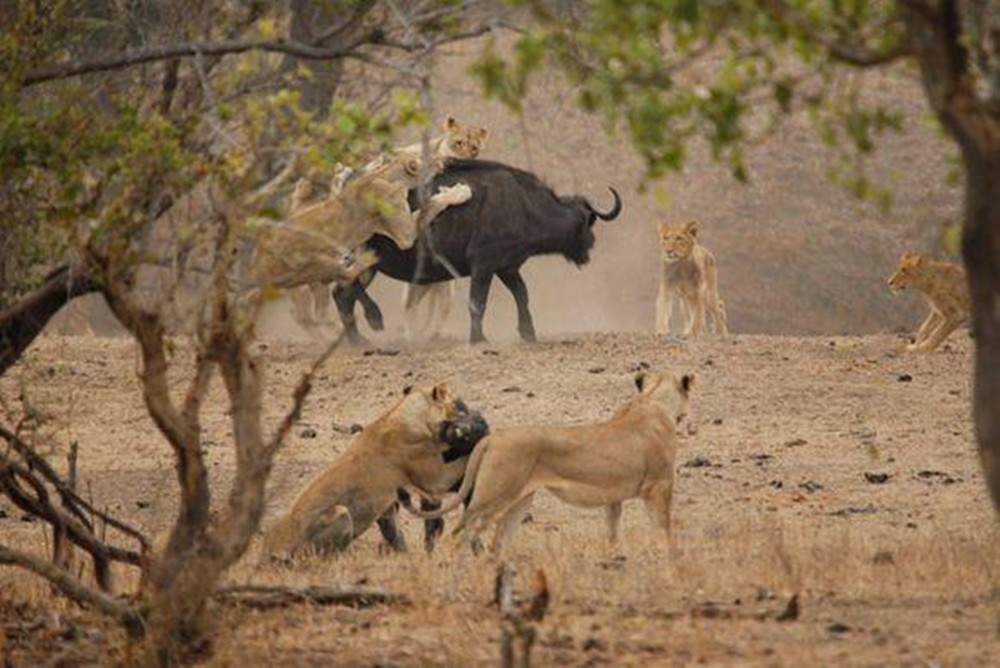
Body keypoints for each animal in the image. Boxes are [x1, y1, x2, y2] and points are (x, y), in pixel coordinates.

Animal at [262, 380, 480, 560]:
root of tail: (270, 554)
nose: (471, 416)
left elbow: (395, 534)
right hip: (340, 512)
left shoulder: (388, 504)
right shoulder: (434, 479)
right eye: (458, 407)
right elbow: (464, 463)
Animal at [332, 158, 620, 344]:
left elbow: (522, 295)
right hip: (366, 260)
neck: (523, 205)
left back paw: (358, 339)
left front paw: (528, 332)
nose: (591, 245)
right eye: (590, 222)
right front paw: (478, 338)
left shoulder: (507, 268)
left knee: (342, 295)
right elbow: (477, 302)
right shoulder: (484, 266)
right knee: (346, 292)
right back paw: (371, 323)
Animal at [414, 370, 696, 560]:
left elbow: (613, 533)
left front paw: (616, 561)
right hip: (492, 498)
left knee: (497, 543)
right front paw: (669, 560)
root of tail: (491, 438)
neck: (653, 400)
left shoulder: (613, 498)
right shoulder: (658, 487)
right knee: (459, 535)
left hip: (519, 501)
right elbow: (663, 529)